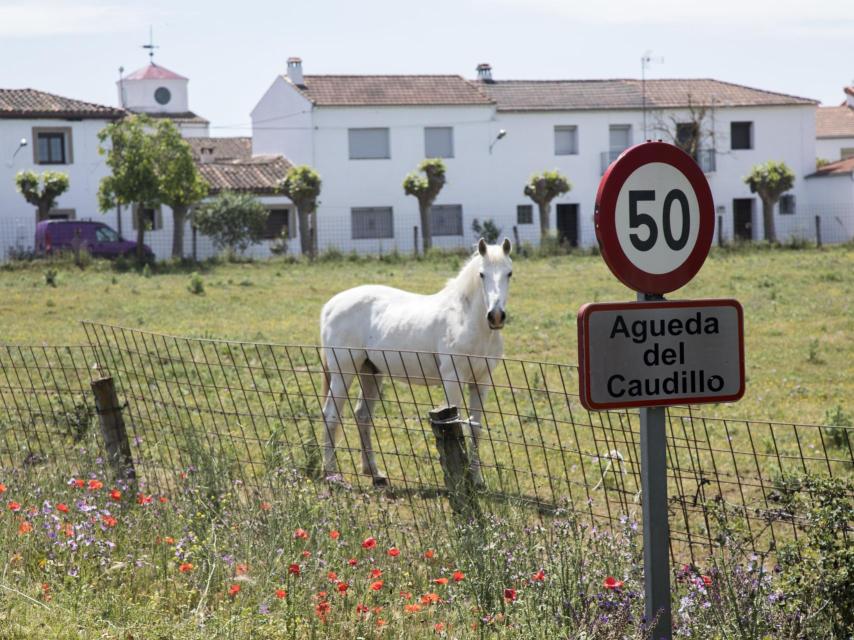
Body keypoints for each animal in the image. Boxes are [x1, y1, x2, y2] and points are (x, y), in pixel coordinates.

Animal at [318, 239, 512, 484]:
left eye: (509, 273)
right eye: (482, 274)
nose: (495, 316)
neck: (465, 319)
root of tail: (331, 305)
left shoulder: (481, 381)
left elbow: (475, 428)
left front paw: (477, 480)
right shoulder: (453, 379)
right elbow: (456, 426)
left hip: (371, 372)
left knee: (362, 416)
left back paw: (374, 472)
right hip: (344, 372)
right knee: (331, 415)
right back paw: (332, 474)